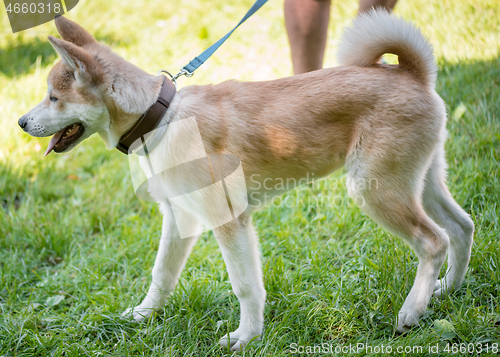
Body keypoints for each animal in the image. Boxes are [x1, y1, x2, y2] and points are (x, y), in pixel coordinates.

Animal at [19, 9, 472, 350]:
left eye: (54, 98)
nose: (21, 122)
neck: (160, 118)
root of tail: (411, 73)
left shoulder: (228, 221)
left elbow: (245, 285)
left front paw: (246, 337)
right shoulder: (179, 219)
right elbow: (161, 275)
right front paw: (143, 315)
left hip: (376, 190)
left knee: (433, 241)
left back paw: (412, 311)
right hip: (420, 183)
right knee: (461, 227)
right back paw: (446, 291)